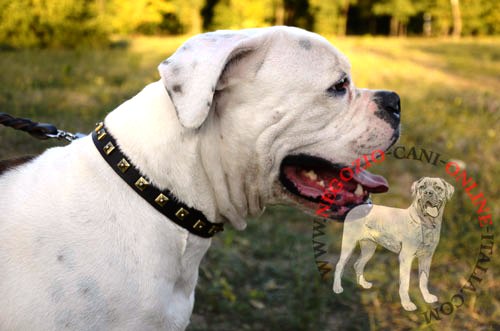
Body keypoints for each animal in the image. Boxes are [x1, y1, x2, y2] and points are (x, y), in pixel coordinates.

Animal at [332, 178, 454, 312]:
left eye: (438, 188)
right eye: (422, 187)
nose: (428, 193)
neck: (425, 224)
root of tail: (357, 207)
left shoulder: (426, 257)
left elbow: (423, 279)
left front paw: (427, 297)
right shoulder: (406, 257)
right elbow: (405, 283)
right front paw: (407, 304)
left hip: (369, 248)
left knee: (358, 264)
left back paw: (363, 284)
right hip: (349, 244)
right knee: (339, 265)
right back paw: (337, 288)